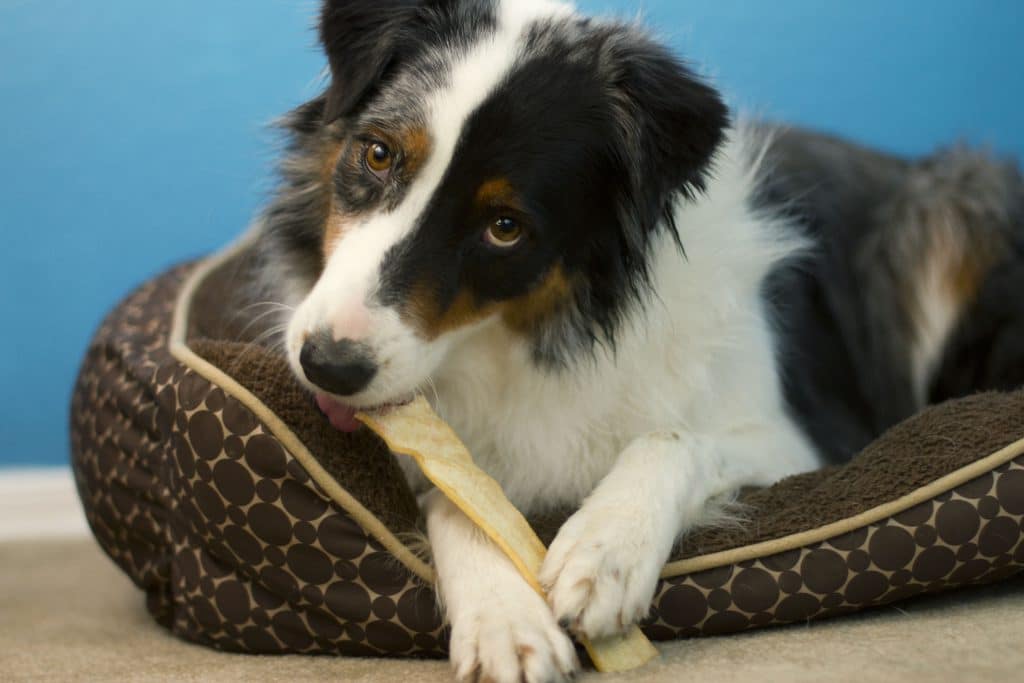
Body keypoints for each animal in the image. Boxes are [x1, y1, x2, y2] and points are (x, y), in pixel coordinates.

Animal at [240, 1, 1024, 680]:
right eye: (377, 155)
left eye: (505, 227)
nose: (328, 366)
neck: (514, 339)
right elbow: (458, 494)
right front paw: (503, 619)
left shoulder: (805, 440)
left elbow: (671, 437)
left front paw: (605, 550)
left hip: (948, 214)